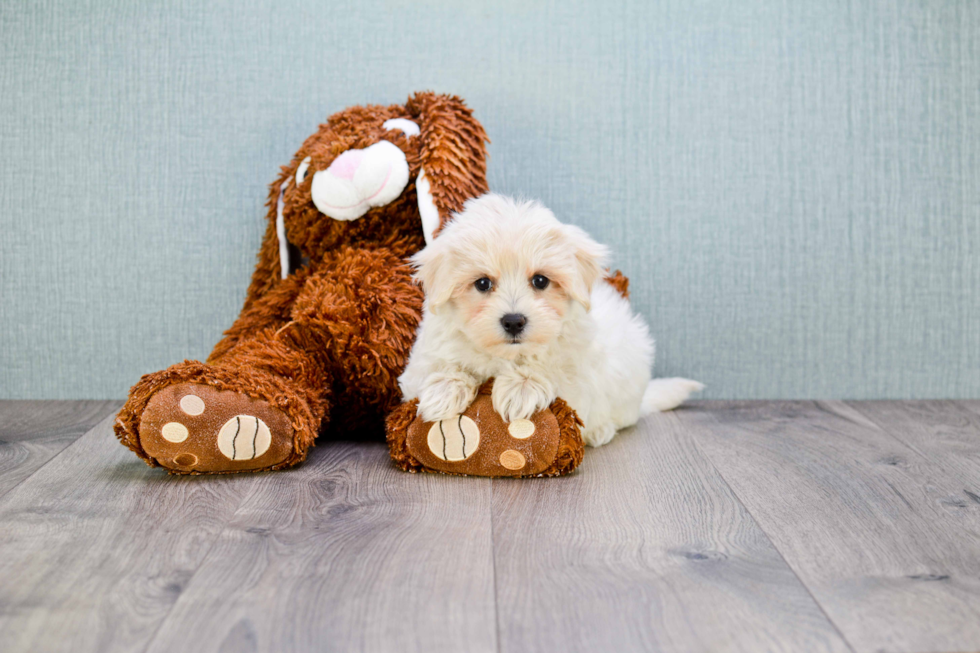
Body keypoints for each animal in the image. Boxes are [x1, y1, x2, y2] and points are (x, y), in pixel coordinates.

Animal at [398, 194, 704, 446]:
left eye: (541, 281)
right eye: (482, 283)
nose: (513, 321)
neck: (507, 356)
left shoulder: (579, 370)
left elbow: (552, 369)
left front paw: (520, 387)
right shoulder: (422, 362)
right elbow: (444, 366)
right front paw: (444, 389)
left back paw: (600, 431)